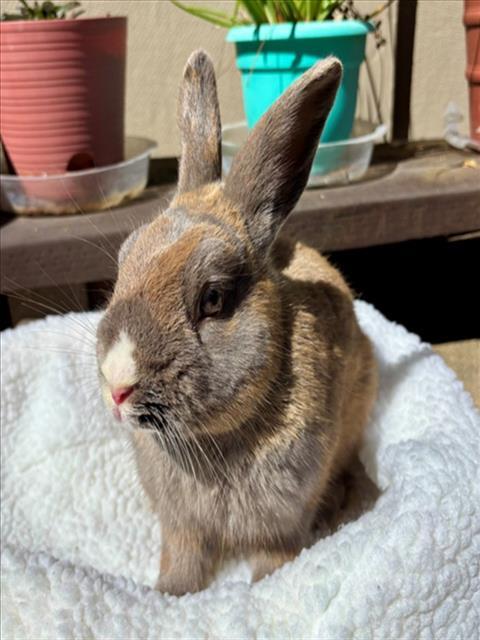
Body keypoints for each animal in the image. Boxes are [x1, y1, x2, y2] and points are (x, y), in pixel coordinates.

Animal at [96, 50, 378, 596]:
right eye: (123, 263)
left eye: (213, 299)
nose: (118, 385)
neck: (216, 439)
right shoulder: (182, 529)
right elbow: (183, 564)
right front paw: (169, 594)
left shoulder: (281, 523)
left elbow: (274, 561)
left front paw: (262, 589)